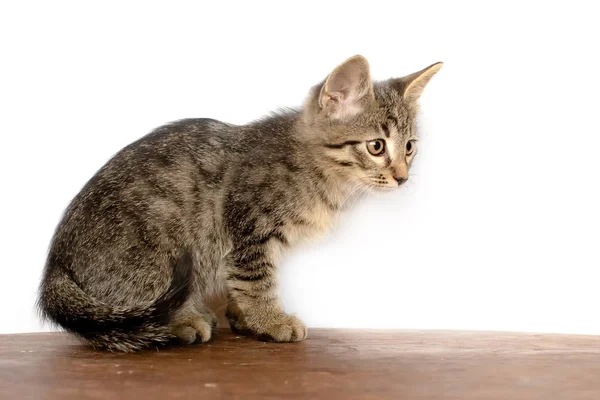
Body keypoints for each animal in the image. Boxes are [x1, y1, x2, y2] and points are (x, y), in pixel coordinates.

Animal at [36, 55, 440, 350]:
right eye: (377, 146)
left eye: (409, 147)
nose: (403, 177)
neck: (320, 173)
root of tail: (55, 266)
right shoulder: (248, 228)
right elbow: (256, 282)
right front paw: (271, 321)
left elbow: (240, 285)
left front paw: (245, 320)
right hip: (156, 248)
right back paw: (183, 322)